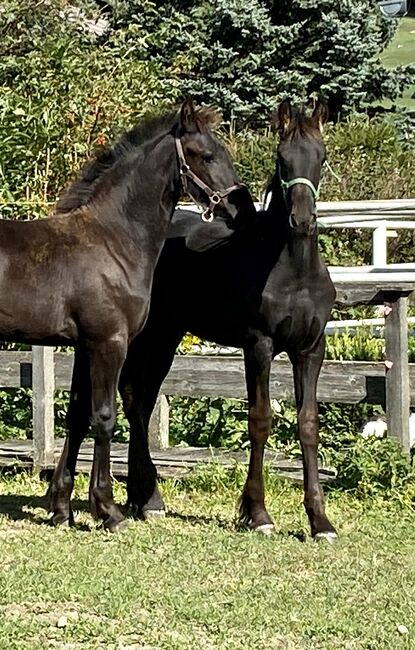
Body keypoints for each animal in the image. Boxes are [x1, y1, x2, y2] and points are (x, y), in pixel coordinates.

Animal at [0, 98, 254, 528]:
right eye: (205, 156)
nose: (242, 210)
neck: (112, 240)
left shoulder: (84, 345)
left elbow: (77, 413)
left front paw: (61, 508)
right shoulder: (109, 341)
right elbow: (104, 417)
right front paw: (108, 509)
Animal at [119, 98, 338, 540]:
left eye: (321, 157)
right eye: (281, 159)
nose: (302, 221)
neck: (294, 271)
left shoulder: (311, 348)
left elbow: (308, 423)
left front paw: (319, 520)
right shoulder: (259, 345)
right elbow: (260, 419)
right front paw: (257, 513)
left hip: (167, 338)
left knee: (144, 401)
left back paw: (143, 497)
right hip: (148, 336)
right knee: (133, 395)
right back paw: (147, 497)